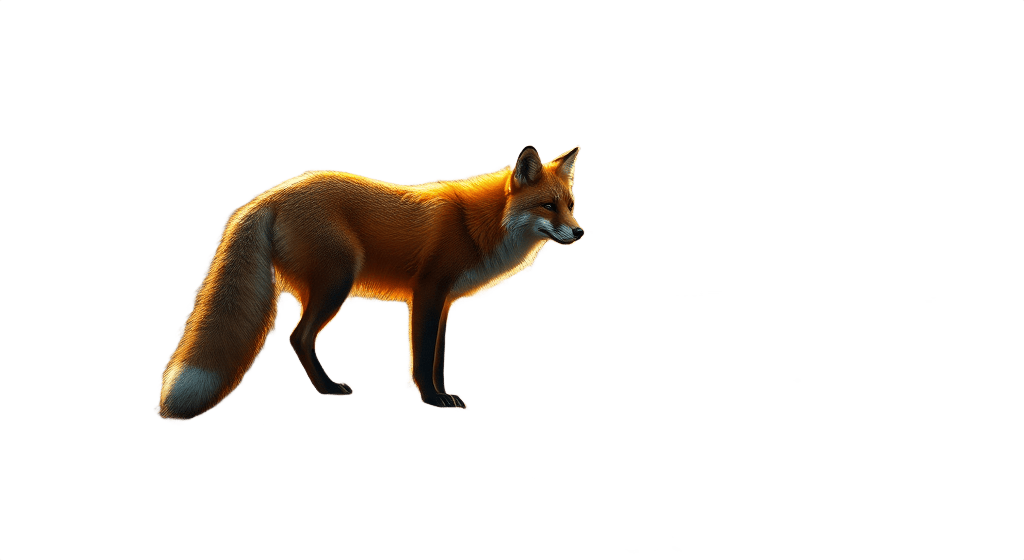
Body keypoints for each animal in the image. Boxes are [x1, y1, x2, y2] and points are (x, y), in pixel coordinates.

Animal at [154, 145, 585, 425]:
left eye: (570, 206)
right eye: (548, 206)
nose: (580, 232)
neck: (476, 225)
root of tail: (271, 195)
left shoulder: (445, 303)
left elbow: (439, 358)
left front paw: (443, 393)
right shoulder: (427, 292)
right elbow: (422, 358)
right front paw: (432, 399)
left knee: (299, 338)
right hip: (337, 283)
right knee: (299, 337)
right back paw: (328, 388)